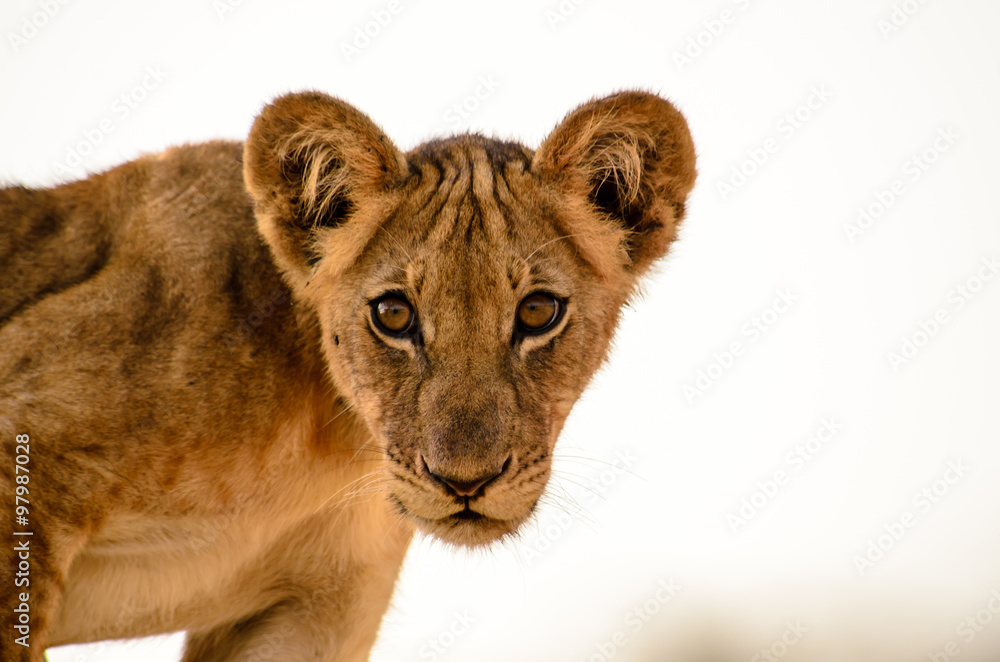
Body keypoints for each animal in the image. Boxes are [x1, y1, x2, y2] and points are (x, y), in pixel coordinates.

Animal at [0, 90, 696, 661]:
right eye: (393, 314)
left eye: (537, 312)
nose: (464, 483)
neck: (333, 443)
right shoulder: (25, 462)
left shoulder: (309, 615)